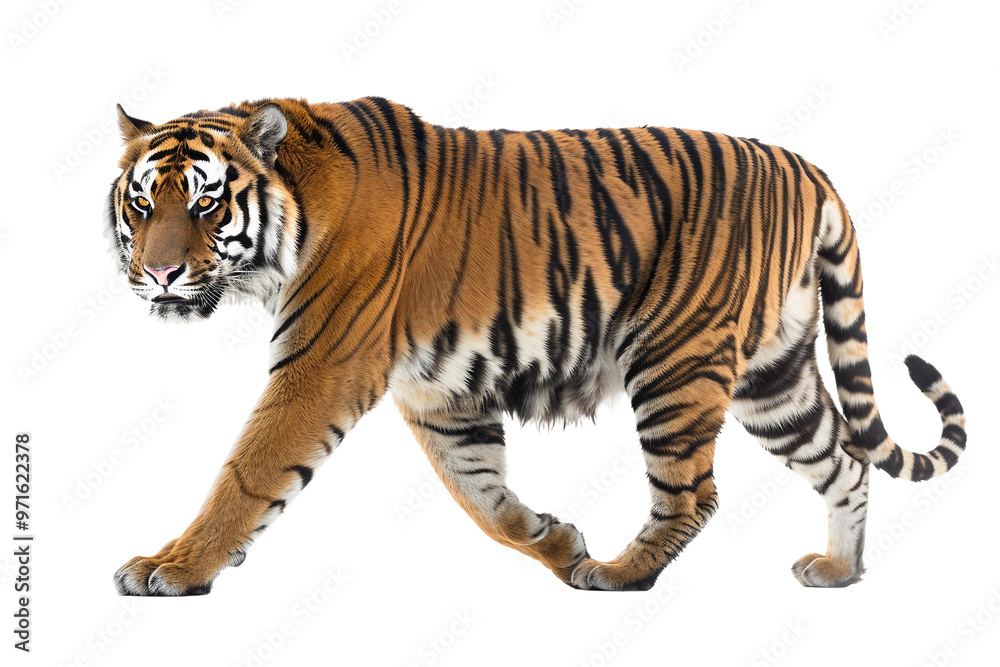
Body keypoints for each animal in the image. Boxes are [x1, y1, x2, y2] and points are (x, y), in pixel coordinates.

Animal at [108, 97, 966, 595]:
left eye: (206, 203)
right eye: (144, 202)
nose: (158, 273)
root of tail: (805, 166)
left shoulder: (321, 366)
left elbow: (248, 472)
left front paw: (174, 565)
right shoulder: (441, 392)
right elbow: (482, 497)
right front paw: (554, 540)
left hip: (676, 361)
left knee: (695, 493)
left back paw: (619, 573)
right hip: (773, 376)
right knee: (844, 459)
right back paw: (841, 570)